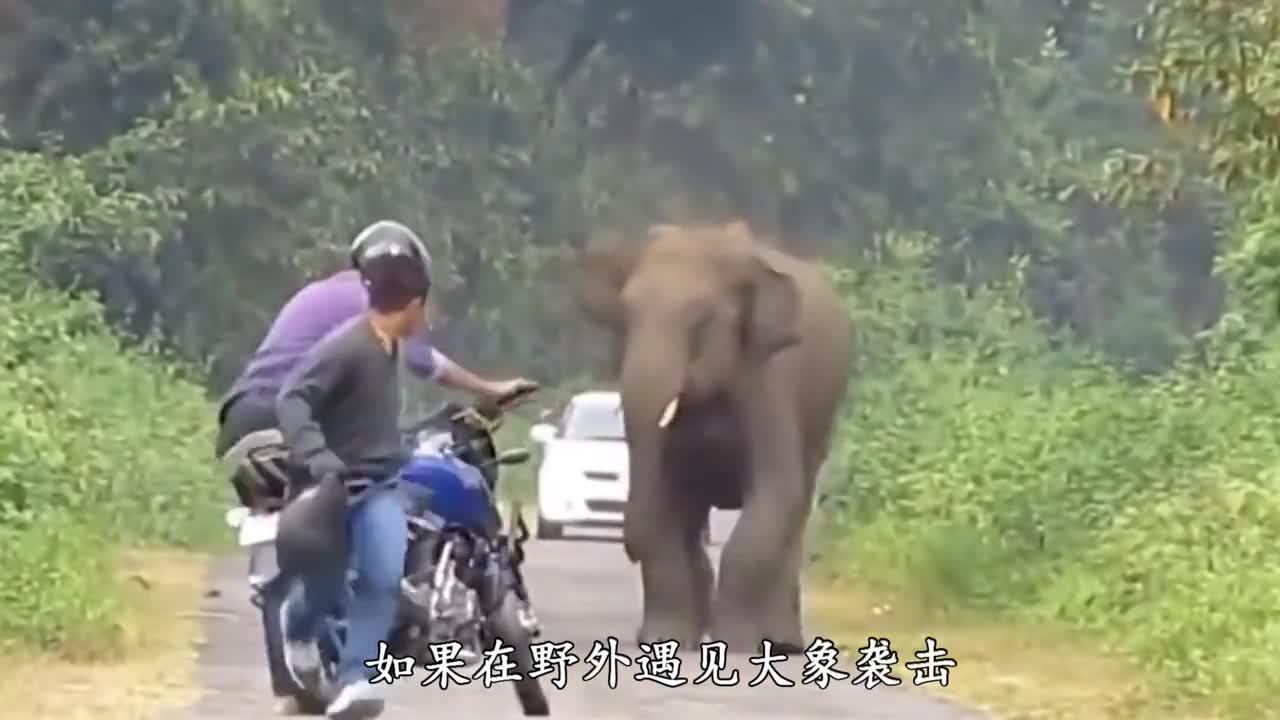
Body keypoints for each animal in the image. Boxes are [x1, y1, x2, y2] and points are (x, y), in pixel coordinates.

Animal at [575, 220, 852, 654]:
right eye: (625, 317)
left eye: (701, 322)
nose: (628, 542)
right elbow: (666, 502)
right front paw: (664, 640)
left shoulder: (768, 381)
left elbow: (773, 494)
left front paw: (737, 643)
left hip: (821, 418)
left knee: (797, 506)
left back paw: (782, 641)